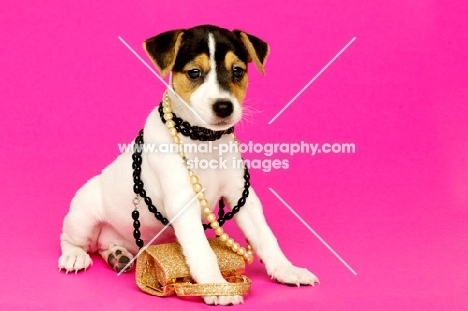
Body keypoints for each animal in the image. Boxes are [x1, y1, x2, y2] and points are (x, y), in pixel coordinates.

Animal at [58, 25, 318, 308]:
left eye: (237, 71)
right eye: (195, 72)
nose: (224, 106)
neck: (204, 140)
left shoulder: (243, 197)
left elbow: (266, 236)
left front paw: (286, 269)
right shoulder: (183, 202)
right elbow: (202, 250)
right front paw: (216, 287)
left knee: (106, 246)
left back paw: (118, 255)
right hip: (83, 216)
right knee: (71, 239)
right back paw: (74, 256)